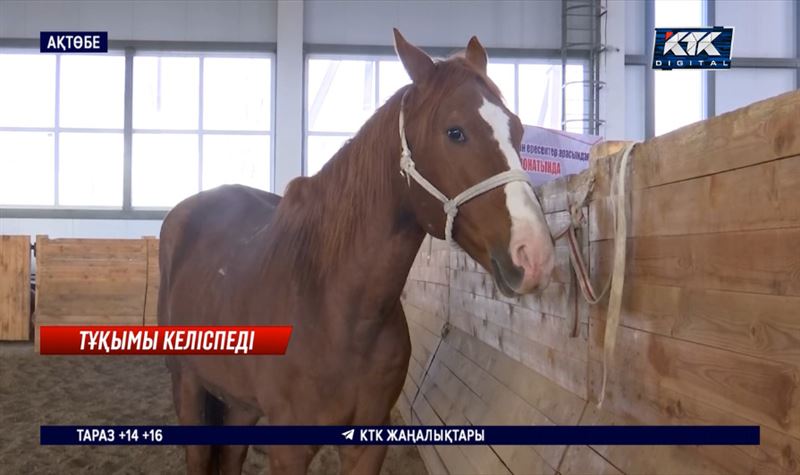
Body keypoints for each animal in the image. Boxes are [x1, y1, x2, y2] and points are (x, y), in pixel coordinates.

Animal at [158, 30, 556, 475]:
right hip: (187, 384)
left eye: (518, 131)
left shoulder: (368, 443)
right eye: (455, 132)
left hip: (239, 401)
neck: (336, 310)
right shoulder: (288, 449)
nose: (534, 253)